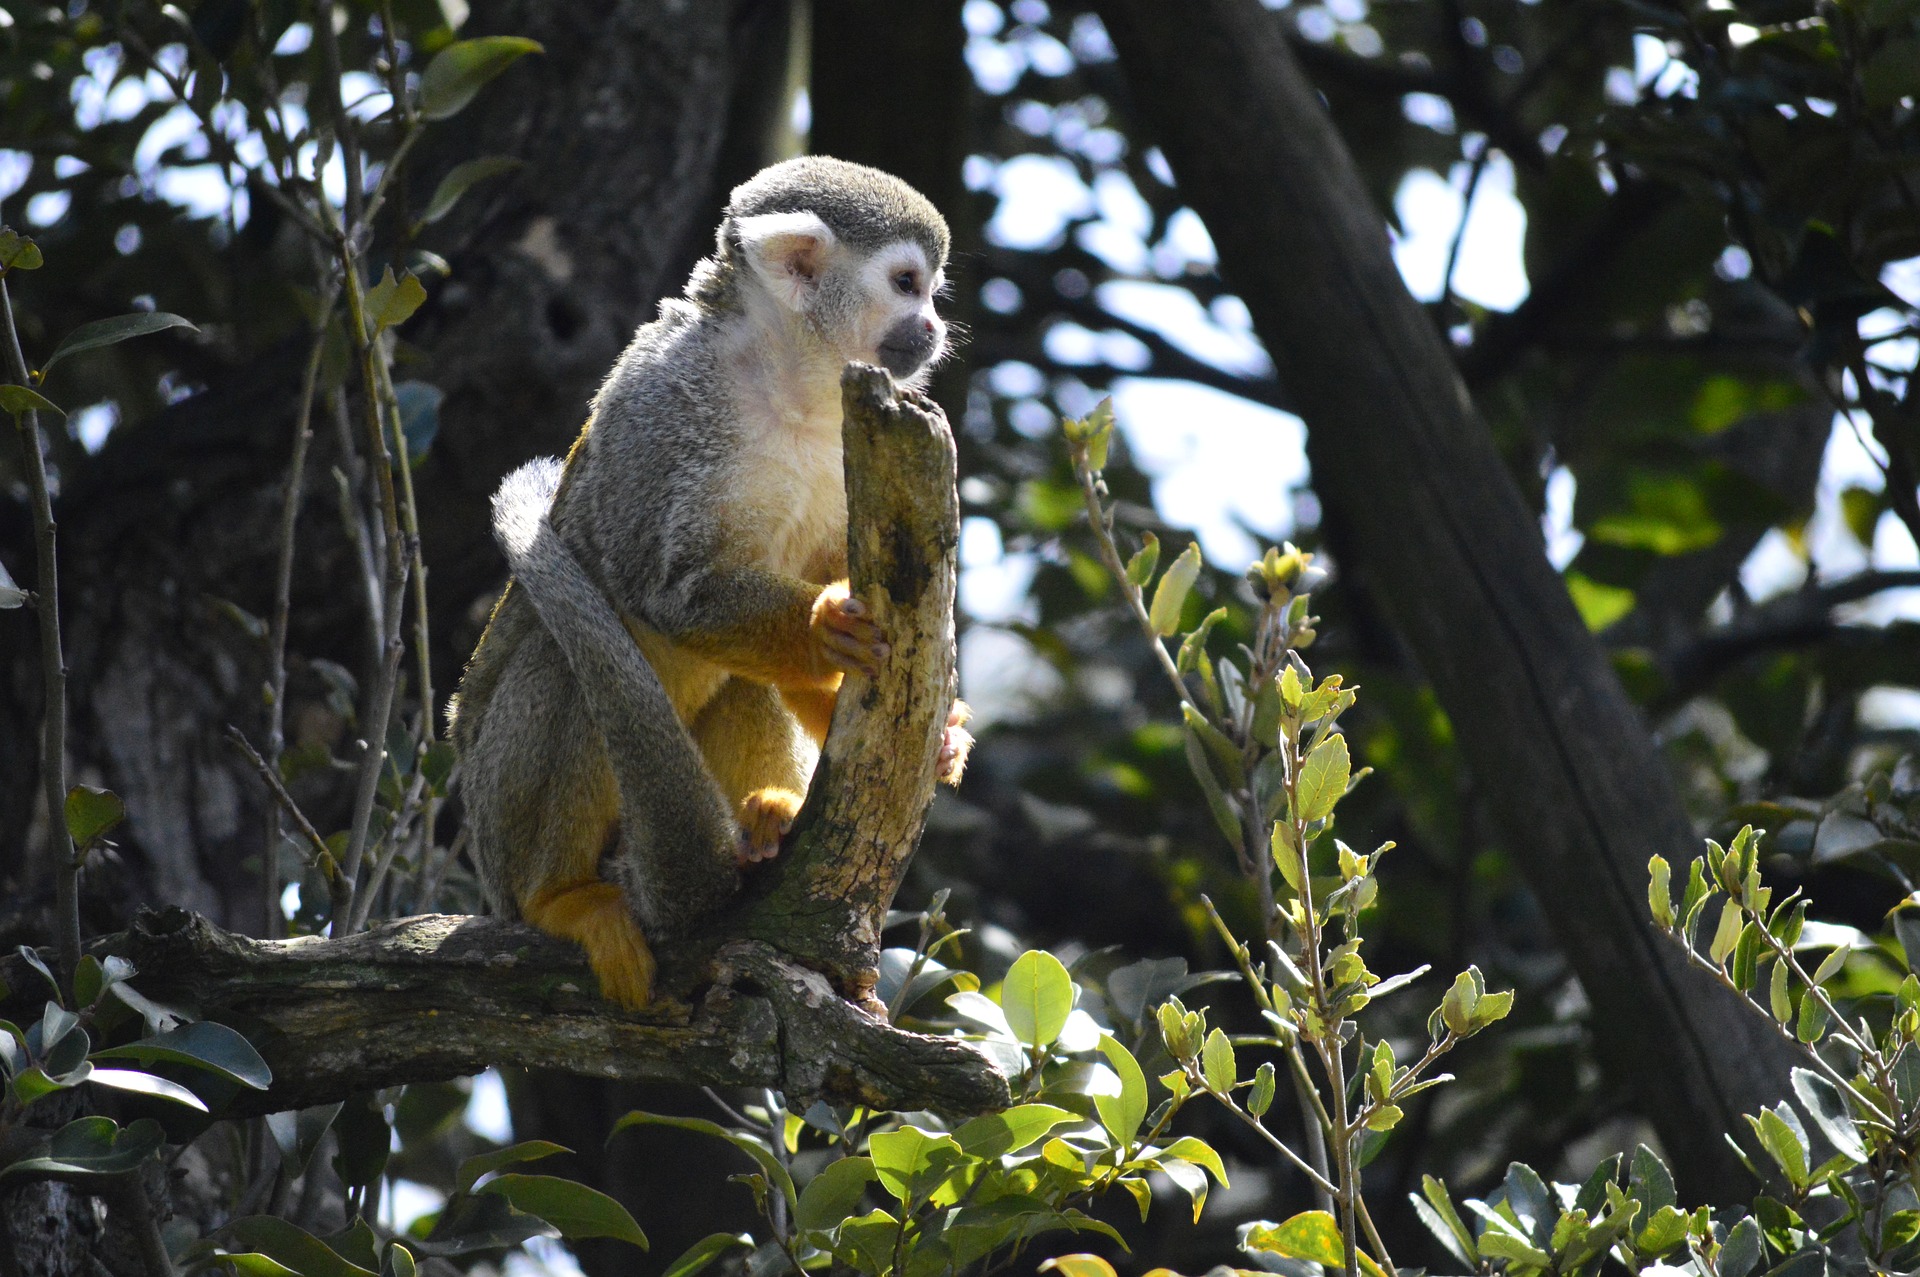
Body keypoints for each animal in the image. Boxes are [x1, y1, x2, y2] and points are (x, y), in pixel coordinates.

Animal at [448, 157, 973, 1011]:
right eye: (907, 284)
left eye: (929, 293)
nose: (932, 328)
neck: (786, 380)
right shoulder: (662, 404)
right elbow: (665, 590)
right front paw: (826, 625)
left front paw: (929, 730)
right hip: (494, 819)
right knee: (566, 663)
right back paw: (562, 897)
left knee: (740, 674)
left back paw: (766, 824)